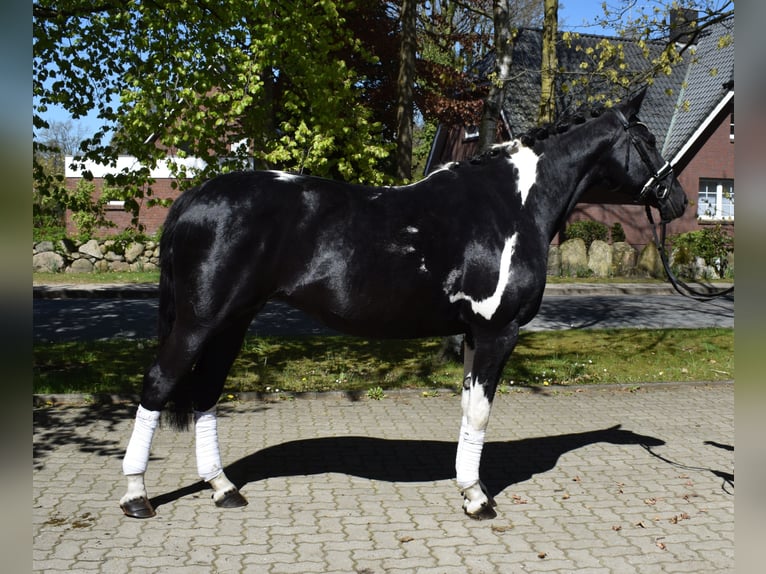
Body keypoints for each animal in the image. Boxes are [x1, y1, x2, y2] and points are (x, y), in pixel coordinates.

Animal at [119, 87, 687, 520]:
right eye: (646, 139)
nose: (678, 200)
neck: (512, 202)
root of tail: (193, 198)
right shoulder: (498, 330)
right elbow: (481, 413)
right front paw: (478, 500)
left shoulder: (472, 333)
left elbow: (468, 410)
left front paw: (467, 487)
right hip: (199, 322)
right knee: (159, 385)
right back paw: (136, 496)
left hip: (231, 323)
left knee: (206, 392)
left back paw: (223, 489)